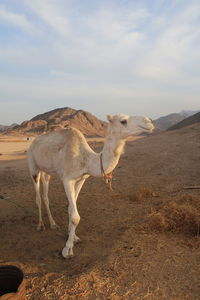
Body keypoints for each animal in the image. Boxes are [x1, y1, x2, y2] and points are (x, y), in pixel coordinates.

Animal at [27, 113, 154, 258]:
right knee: (38, 197)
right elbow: (75, 216)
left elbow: (70, 209)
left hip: (47, 171)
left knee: (45, 194)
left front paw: (73, 236)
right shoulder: (67, 180)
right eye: (123, 121)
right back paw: (40, 225)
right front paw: (67, 250)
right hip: (33, 166)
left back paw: (53, 224)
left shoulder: (81, 179)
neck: (87, 160)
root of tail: (34, 141)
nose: (149, 122)